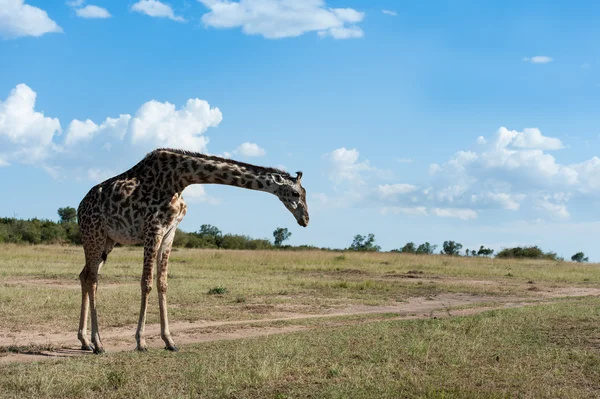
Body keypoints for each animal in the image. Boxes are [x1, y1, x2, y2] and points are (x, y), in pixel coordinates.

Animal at [77, 148, 310, 354]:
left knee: (85, 275)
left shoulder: (169, 232)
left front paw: (169, 341)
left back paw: (85, 341)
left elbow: (162, 283)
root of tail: (80, 208)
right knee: (93, 279)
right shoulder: (153, 229)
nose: (306, 219)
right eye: (295, 193)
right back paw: (98, 344)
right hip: (94, 235)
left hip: (108, 241)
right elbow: (147, 283)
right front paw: (141, 342)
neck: (181, 179)